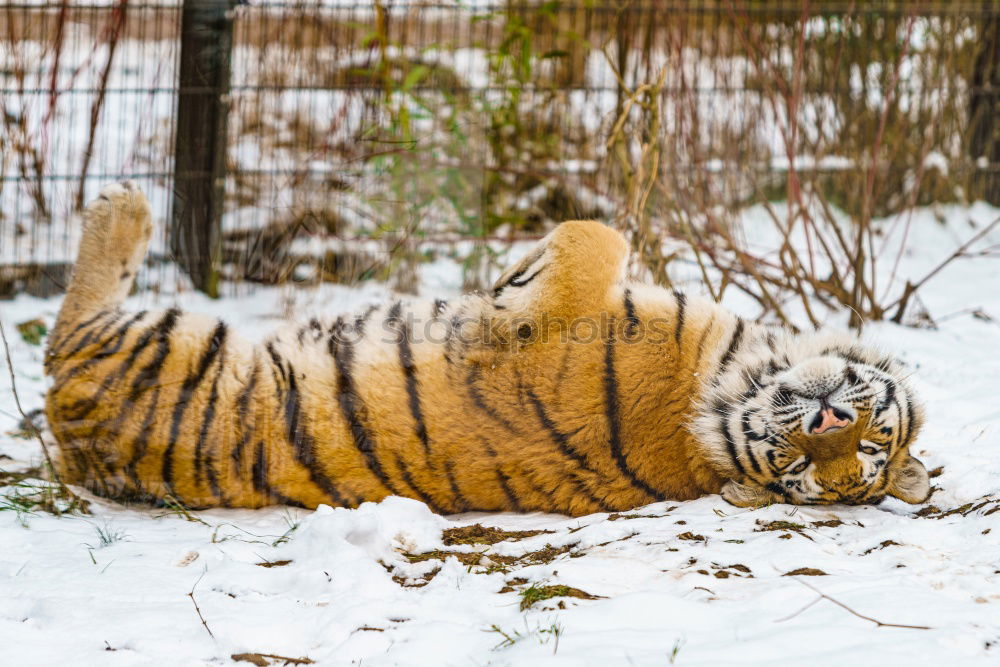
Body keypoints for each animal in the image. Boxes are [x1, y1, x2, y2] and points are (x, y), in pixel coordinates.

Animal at [39, 183, 928, 516]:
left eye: (843, 458)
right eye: (861, 443)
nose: (828, 420)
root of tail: (76, 459)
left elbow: (594, 242)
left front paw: (510, 288)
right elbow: (602, 234)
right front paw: (513, 272)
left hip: (156, 347)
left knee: (66, 327)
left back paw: (122, 207)